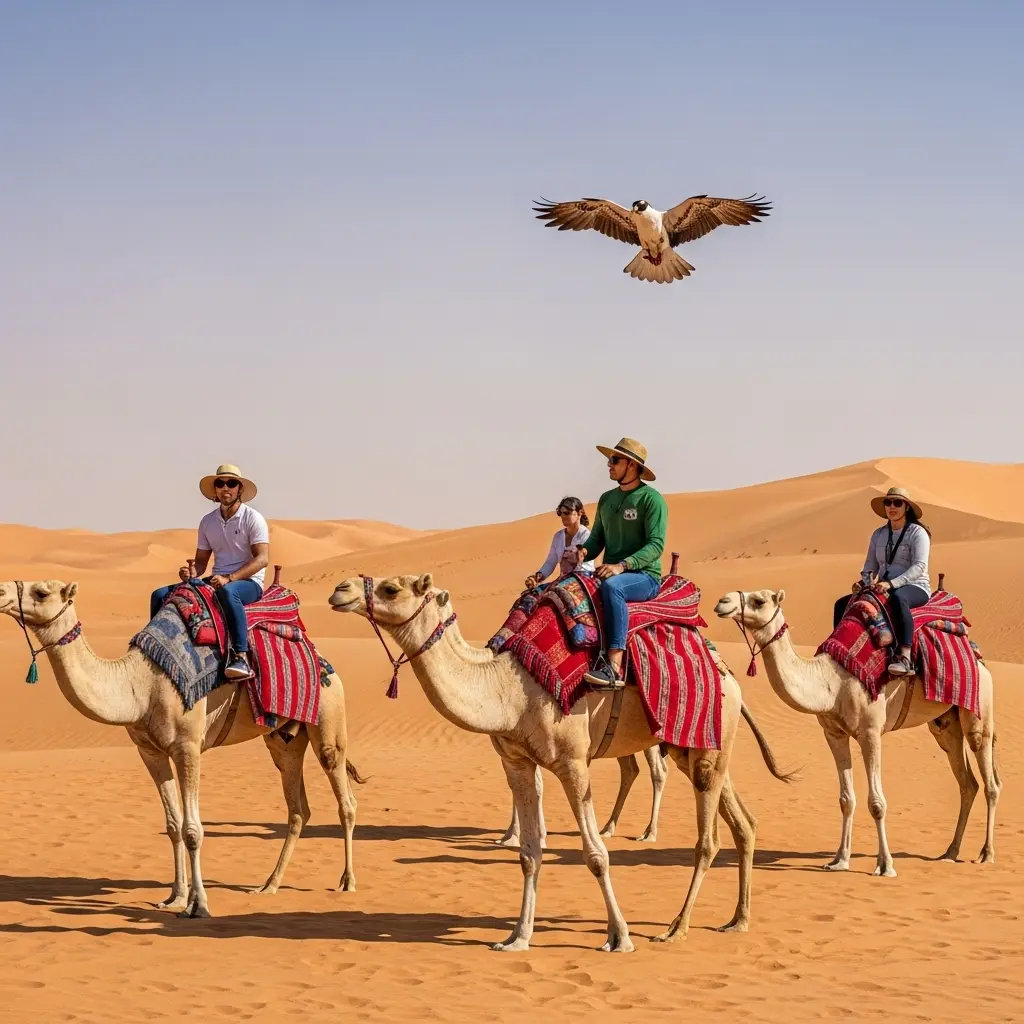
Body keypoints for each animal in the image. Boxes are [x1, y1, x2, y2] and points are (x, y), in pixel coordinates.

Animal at [0, 579, 361, 917]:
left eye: (42, 592)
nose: (1, 591)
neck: (140, 685)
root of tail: (325, 661)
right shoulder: (150, 751)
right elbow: (173, 826)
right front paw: (174, 897)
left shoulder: (188, 746)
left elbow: (192, 830)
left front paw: (198, 904)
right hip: (283, 739)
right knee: (298, 808)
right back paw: (269, 885)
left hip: (329, 717)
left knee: (344, 797)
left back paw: (347, 881)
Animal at [497, 746, 669, 849]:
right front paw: (510, 836)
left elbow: (533, 785)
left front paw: (516, 838)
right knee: (630, 768)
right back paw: (608, 829)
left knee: (658, 770)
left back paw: (650, 834)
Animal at [715, 589, 1000, 876]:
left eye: (759, 600)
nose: (722, 601)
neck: (830, 682)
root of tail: (979, 659)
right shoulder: (833, 733)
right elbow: (846, 799)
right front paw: (839, 860)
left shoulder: (870, 732)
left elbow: (877, 803)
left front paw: (885, 865)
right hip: (945, 724)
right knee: (967, 783)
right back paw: (950, 852)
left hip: (979, 708)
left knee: (989, 778)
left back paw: (986, 853)